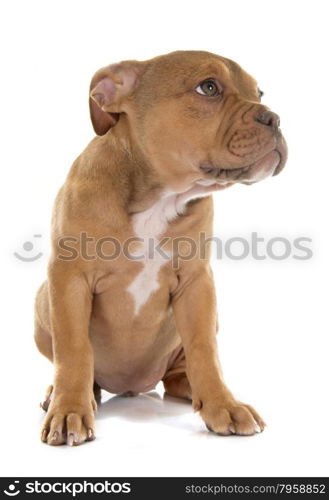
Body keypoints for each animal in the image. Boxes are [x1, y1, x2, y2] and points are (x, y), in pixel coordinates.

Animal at [34, 49, 288, 446]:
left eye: (259, 93)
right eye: (209, 88)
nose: (274, 118)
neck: (159, 198)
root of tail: (131, 387)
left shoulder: (197, 283)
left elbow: (204, 349)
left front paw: (223, 405)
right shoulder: (68, 278)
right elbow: (74, 349)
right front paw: (69, 409)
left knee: (179, 372)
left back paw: (193, 389)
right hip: (43, 300)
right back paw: (70, 395)